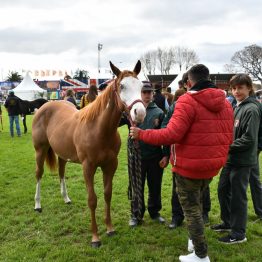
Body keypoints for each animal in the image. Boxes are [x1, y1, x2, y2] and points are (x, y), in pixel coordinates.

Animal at [32, 61, 146, 248]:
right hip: (40, 150)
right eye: (122, 86)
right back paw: (37, 204)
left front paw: (110, 229)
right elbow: (92, 200)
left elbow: (107, 195)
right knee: (39, 174)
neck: (99, 129)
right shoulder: (88, 167)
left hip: (62, 154)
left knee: (61, 172)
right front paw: (95, 238)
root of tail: (45, 106)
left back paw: (66, 198)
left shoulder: (110, 166)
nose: (140, 113)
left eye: (141, 86)